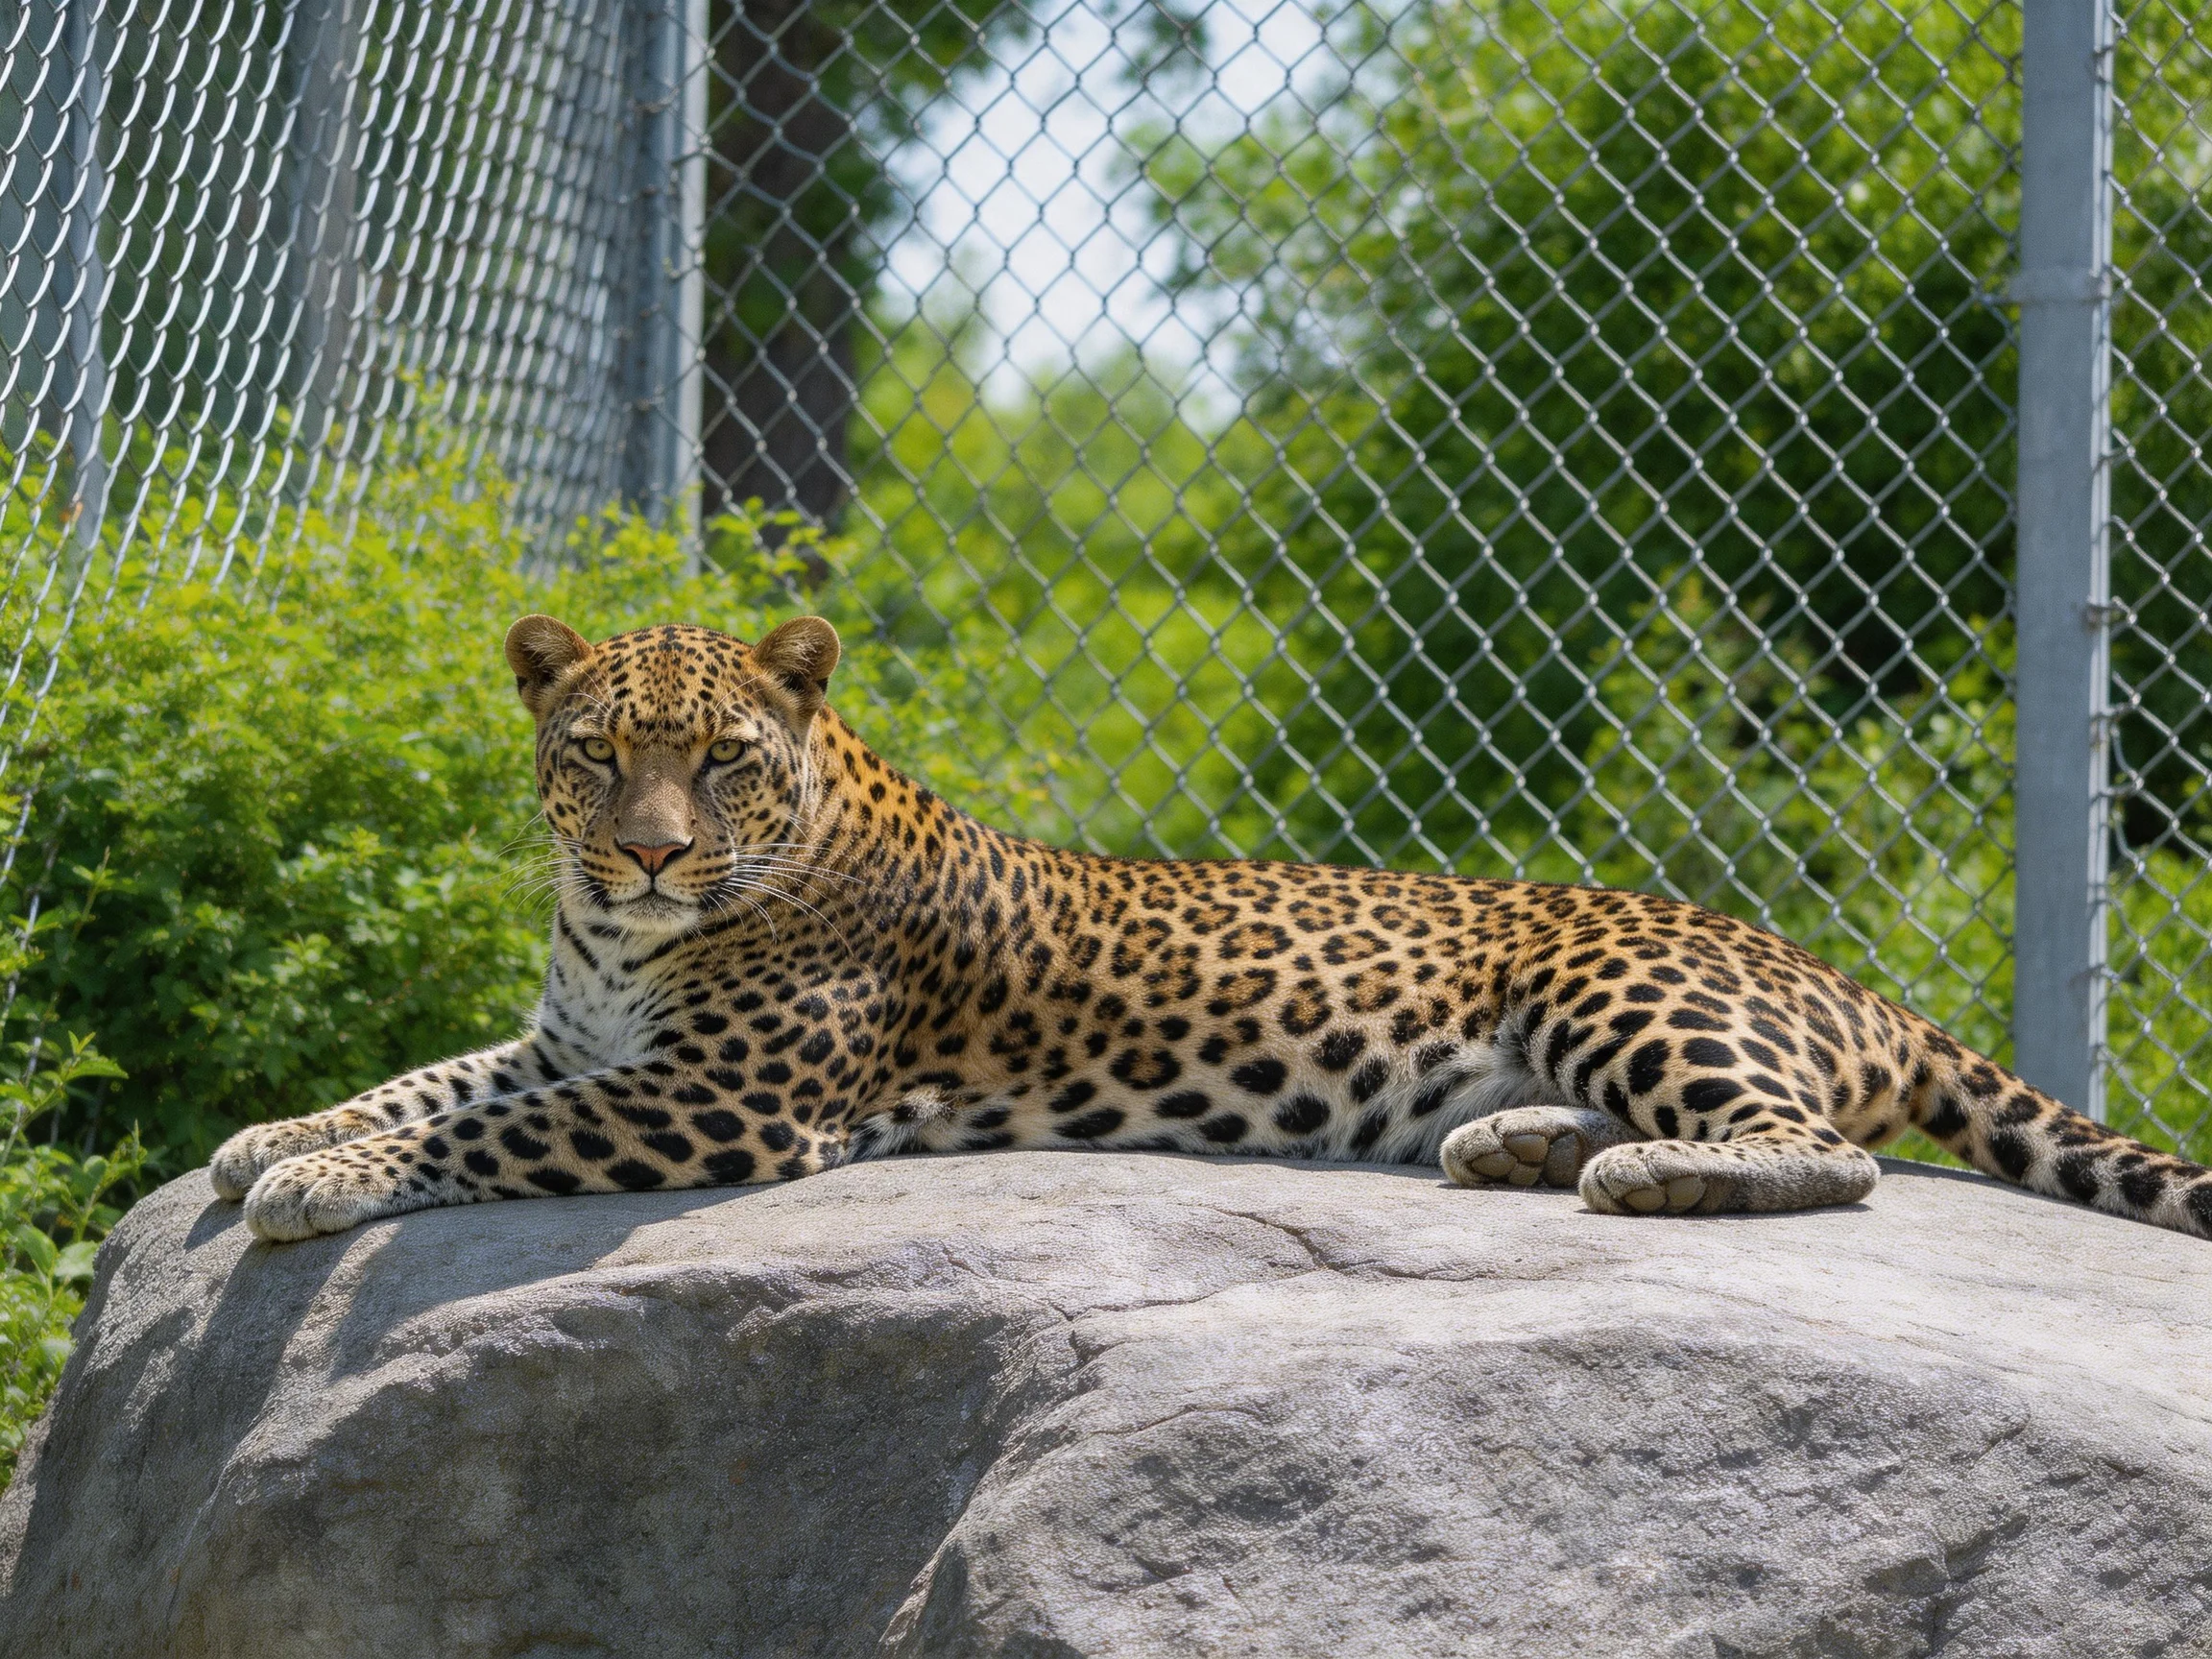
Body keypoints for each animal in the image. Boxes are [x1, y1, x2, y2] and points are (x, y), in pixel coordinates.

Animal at [211, 614, 2212, 1243]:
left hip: (1621, 981)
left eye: (716, 761)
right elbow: (428, 1078)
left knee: (1819, 1149)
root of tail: (1846, 974)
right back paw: (1509, 1141)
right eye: (593, 753)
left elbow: (487, 1129)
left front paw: (311, 1183)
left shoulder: (711, 1099)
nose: (641, 857)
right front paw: (269, 1136)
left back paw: (1631, 1176)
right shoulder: (577, 1035)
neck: (621, 948)